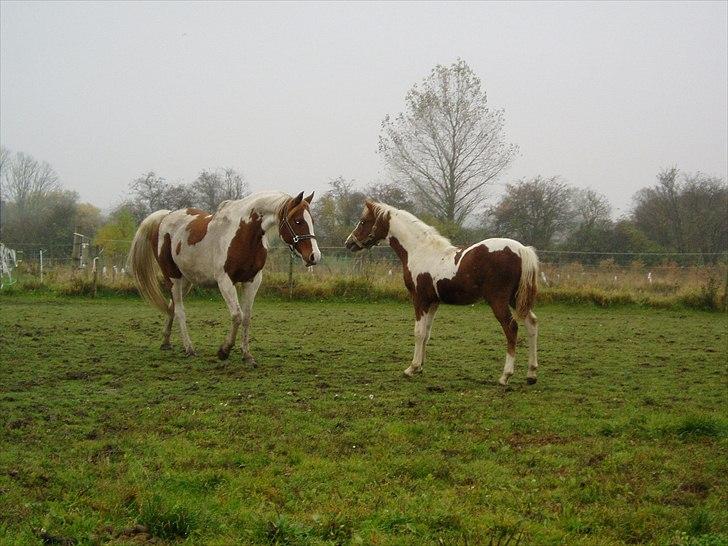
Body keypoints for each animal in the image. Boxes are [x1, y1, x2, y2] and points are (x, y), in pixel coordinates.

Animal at [129, 190, 322, 362]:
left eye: (312, 221)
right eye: (297, 221)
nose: (315, 256)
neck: (243, 233)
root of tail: (165, 218)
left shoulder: (252, 281)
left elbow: (246, 317)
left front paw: (247, 355)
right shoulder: (225, 281)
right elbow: (237, 315)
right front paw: (224, 350)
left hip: (186, 281)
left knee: (172, 306)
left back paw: (166, 342)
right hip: (173, 277)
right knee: (180, 311)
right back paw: (189, 348)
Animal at [346, 199, 540, 382]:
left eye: (363, 221)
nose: (349, 243)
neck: (419, 251)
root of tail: (522, 249)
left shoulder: (420, 300)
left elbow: (418, 332)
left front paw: (411, 368)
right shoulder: (433, 302)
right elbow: (427, 333)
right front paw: (420, 367)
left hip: (498, 300)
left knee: (511, 328)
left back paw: (505, 376)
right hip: (516, 298)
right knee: (531, 323)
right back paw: (531, 374)